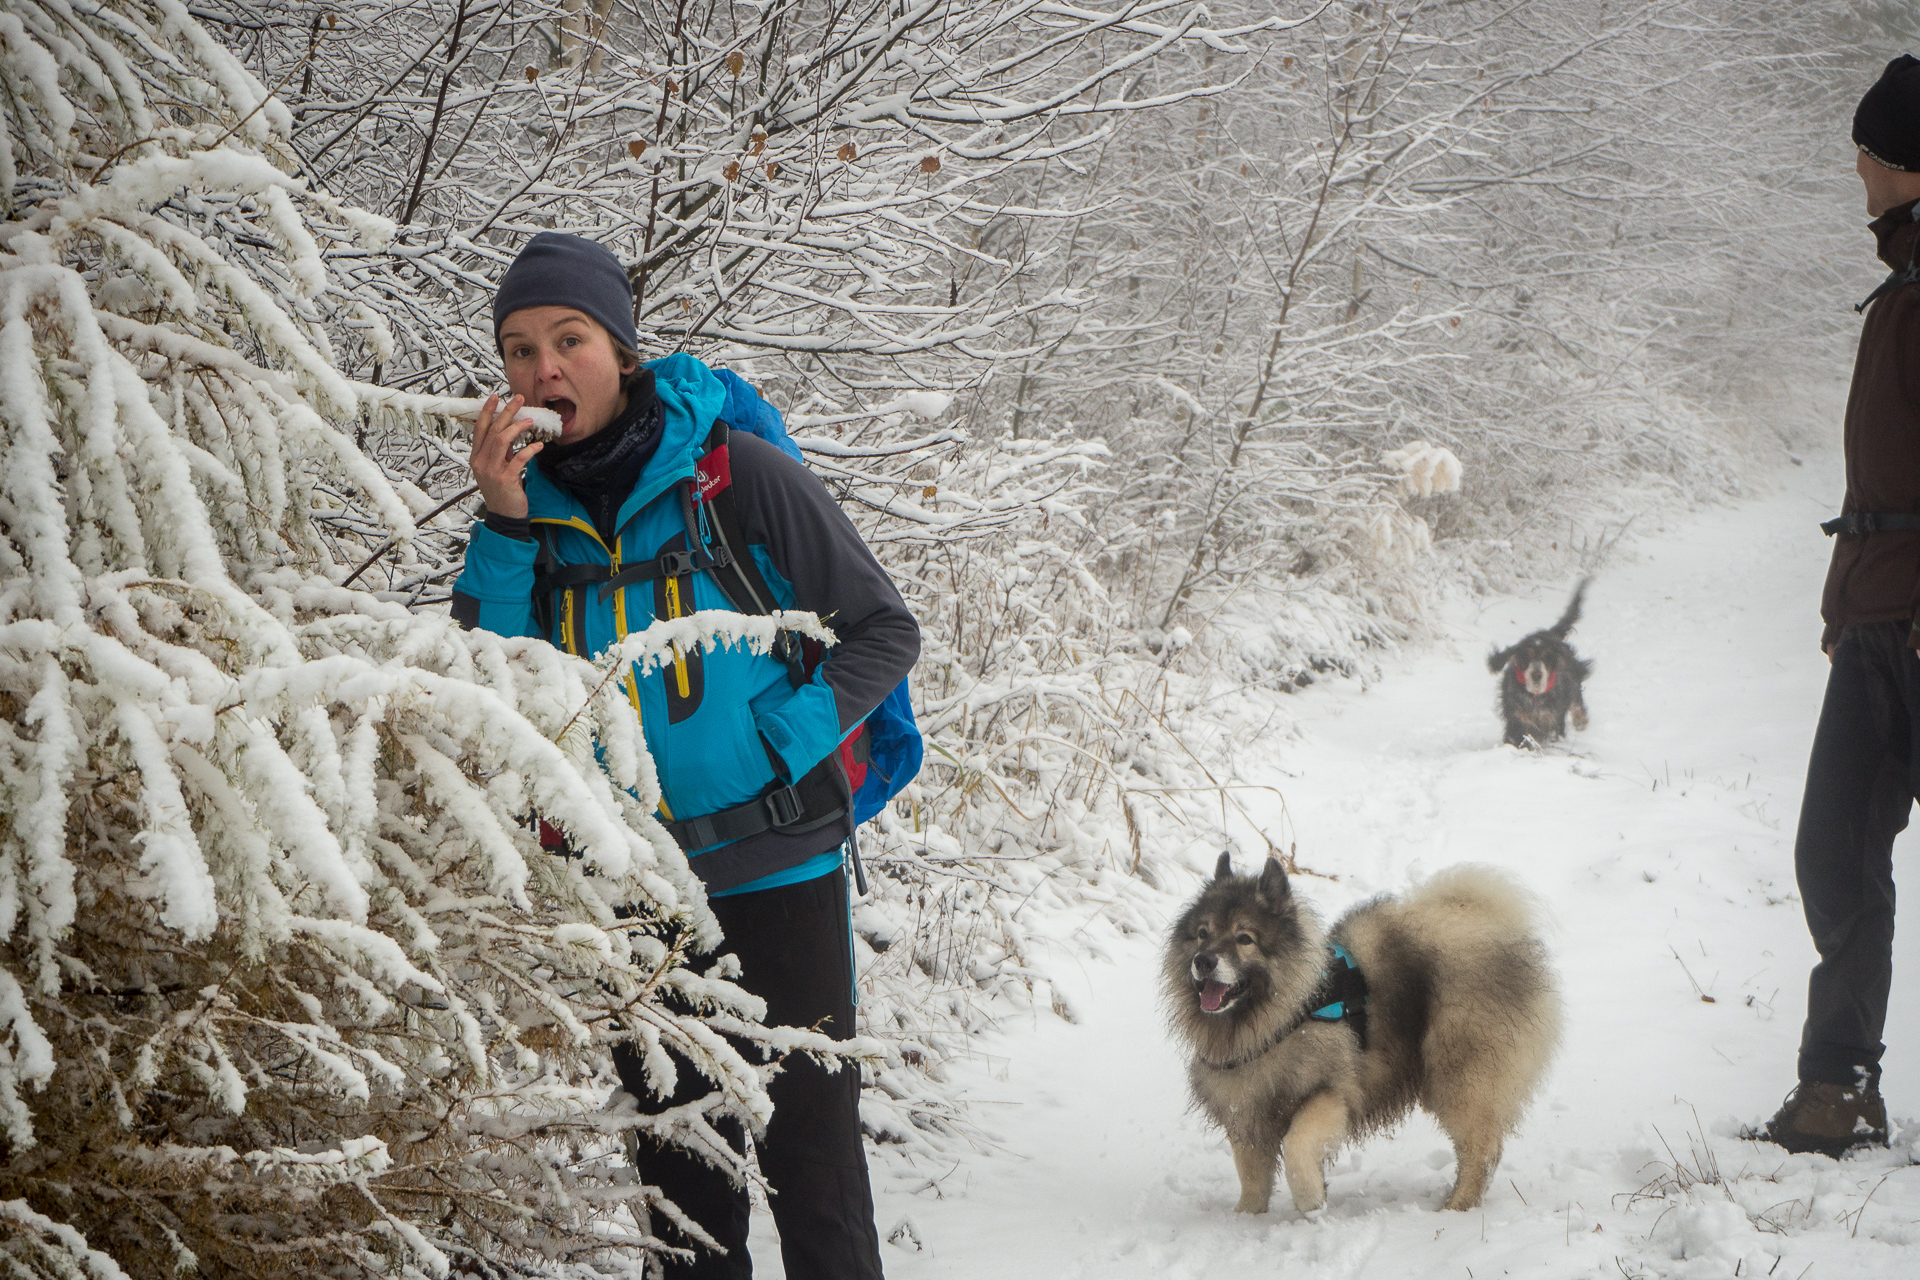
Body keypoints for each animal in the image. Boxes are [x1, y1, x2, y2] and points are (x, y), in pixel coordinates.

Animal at [1152, 855, 1559, 1220]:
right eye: (1202, 933)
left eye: (1244, 938)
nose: (1204, 961)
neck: (1279, 1020)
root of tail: (1490, 926)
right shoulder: (1248, 1112)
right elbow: (1252, 1177)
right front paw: (1245, 1219)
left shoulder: (1331, 1093)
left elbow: (1297, 1145)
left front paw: (1311, 1201)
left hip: (1462, 1076)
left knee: (1482, 1151)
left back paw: (1455, 1208)